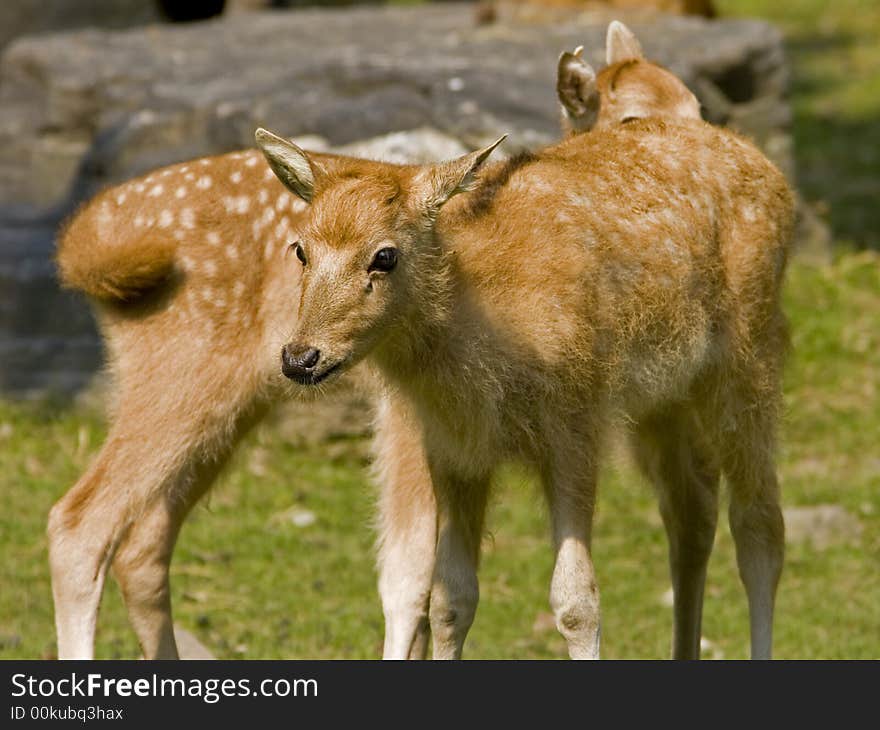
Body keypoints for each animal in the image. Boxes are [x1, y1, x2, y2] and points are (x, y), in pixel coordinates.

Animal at [256, 99, 796, 656]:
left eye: (385, 255)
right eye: (301, 249)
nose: (299, 357)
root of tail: (765, 165)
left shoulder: (577, 424)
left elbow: (577, 600)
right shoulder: (453, 449)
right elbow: (450, 599)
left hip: (750, 357)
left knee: (761, 529)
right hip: (666, 401)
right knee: (692, 514)